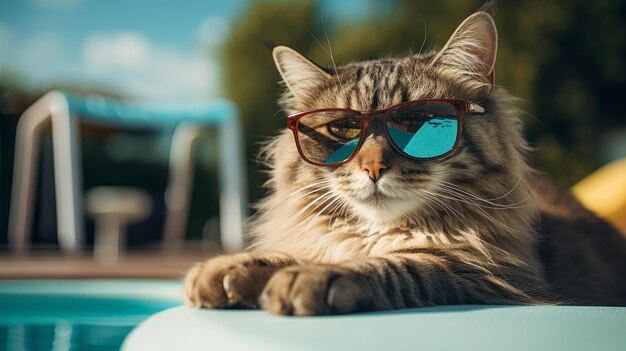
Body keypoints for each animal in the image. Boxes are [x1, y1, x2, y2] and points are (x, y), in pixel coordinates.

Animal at [182, 2, 624, 316]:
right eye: (345, 130)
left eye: (416, 123)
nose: (373, 168)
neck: (386, 230)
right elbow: (306, 250)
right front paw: (229, 270)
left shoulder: (487, 273)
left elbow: (393, 265)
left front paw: (312, 277)